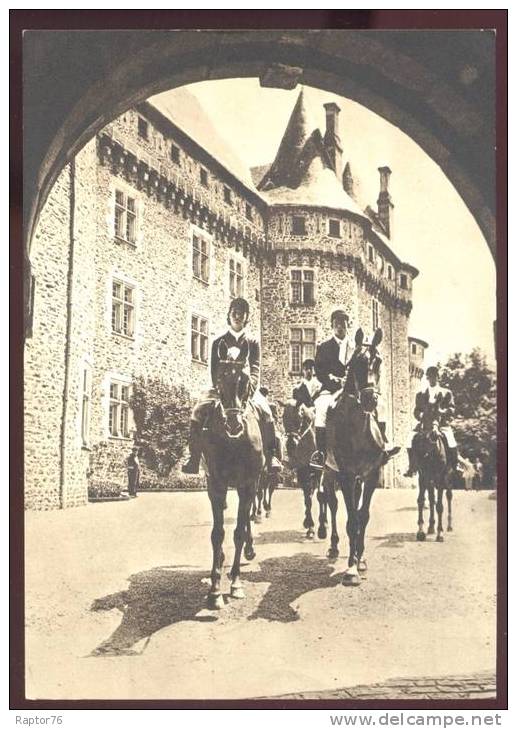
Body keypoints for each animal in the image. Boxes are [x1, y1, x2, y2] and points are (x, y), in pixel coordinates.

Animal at [282, 400, 326, 536]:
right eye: (283, 417)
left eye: (299, 417)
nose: (291, 445)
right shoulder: (303, 472)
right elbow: (307, 498)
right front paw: (309, 525)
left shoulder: (319, 472)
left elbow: (320, 496)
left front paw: (322, 525)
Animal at [320, 328, 390, 584]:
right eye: (356, 363)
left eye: (378, 361)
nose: (370, 400)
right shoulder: (346, 475)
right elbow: (352, 520)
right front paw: (351, 568)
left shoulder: (371, 475)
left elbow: (363, 516)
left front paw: (361, 559)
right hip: (329, 473)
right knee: (331, 503)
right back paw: (333, 546)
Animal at [412, 410, 452, 540]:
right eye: (417, 445)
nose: (421, 460)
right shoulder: (423, 477)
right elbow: (421, 500)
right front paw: (421, 531)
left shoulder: (440, 478)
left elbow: (439, 505)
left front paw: (440, 533)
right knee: (431, 499)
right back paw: (431, 527)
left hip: (447, 479)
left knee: (448, 496)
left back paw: (449, 526)